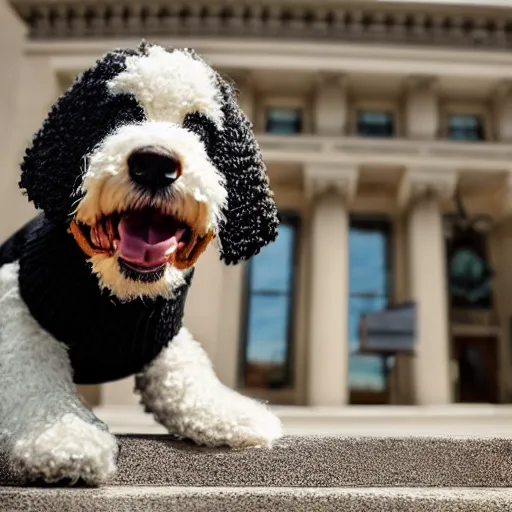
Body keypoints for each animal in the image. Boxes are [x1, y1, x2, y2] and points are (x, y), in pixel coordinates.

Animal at [0, 42, 282, 486]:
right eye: (120, 114)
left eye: (200, 128)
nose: (154, 164)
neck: (116, 295)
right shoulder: (15, 297)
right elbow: (31, 373)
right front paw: (64, 437)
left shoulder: (163, 335)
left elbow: (187, 373)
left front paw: (232, 412)